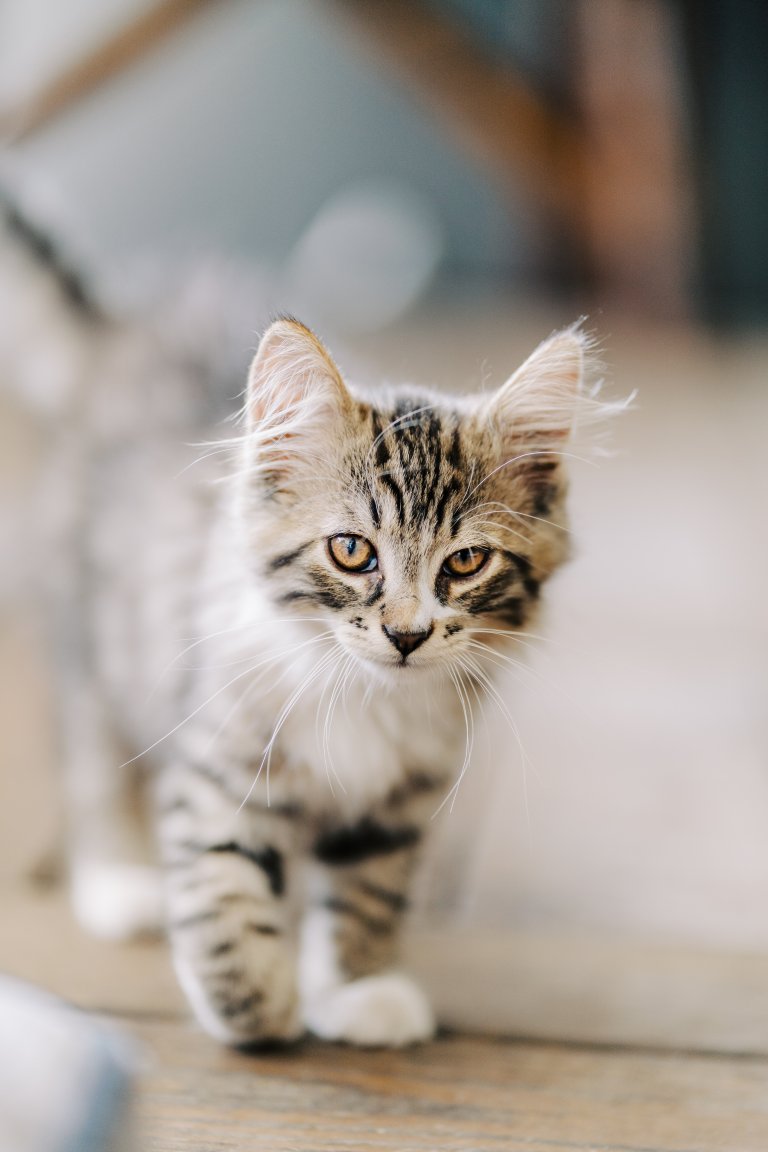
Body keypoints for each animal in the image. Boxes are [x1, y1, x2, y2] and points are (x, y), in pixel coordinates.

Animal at [147, 315, 598, 1046]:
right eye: (352, 550)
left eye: (466, 562)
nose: (407, 635)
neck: (360, 691)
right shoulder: (222, 758)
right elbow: (219, 884)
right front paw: (256, 1007)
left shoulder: (400, 800)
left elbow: (367, 896)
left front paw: (356, 992)